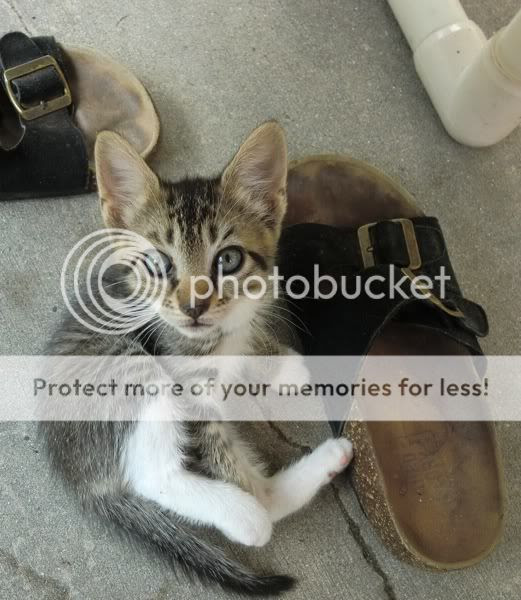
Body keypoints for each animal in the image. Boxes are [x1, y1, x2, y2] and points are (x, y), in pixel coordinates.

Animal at [40, 122, 353, 595]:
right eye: (158, 264)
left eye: (229, 259)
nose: (194, 307)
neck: (212, 339)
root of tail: (80, 477)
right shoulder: (184, 380)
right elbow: (212, 446)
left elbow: (248, 336)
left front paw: (280, 363)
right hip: (128, 363)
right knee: (155, 477)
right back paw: (246, 516)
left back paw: (329, 460)